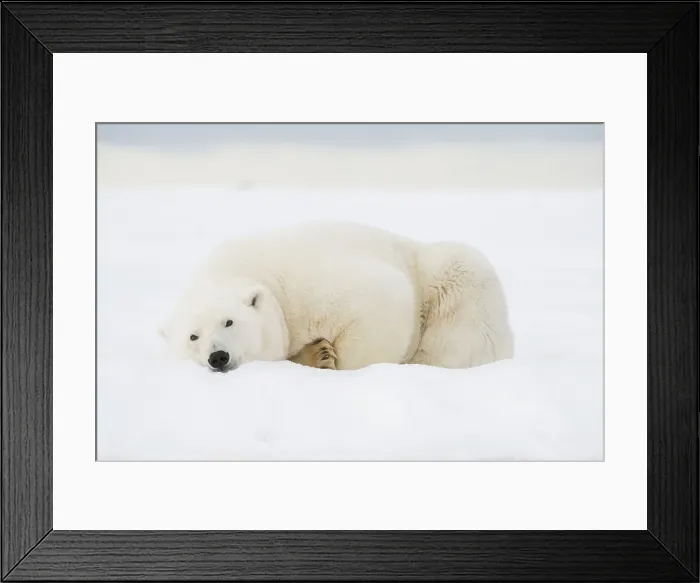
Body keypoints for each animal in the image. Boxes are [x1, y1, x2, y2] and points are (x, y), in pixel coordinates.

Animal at [160, 221, 514, 372]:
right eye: (193, 336)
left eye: (229, 321)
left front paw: (328, 358)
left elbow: (384, 302)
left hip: (457, 282)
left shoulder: (305, 286)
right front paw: (317, 354)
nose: (217, 357)